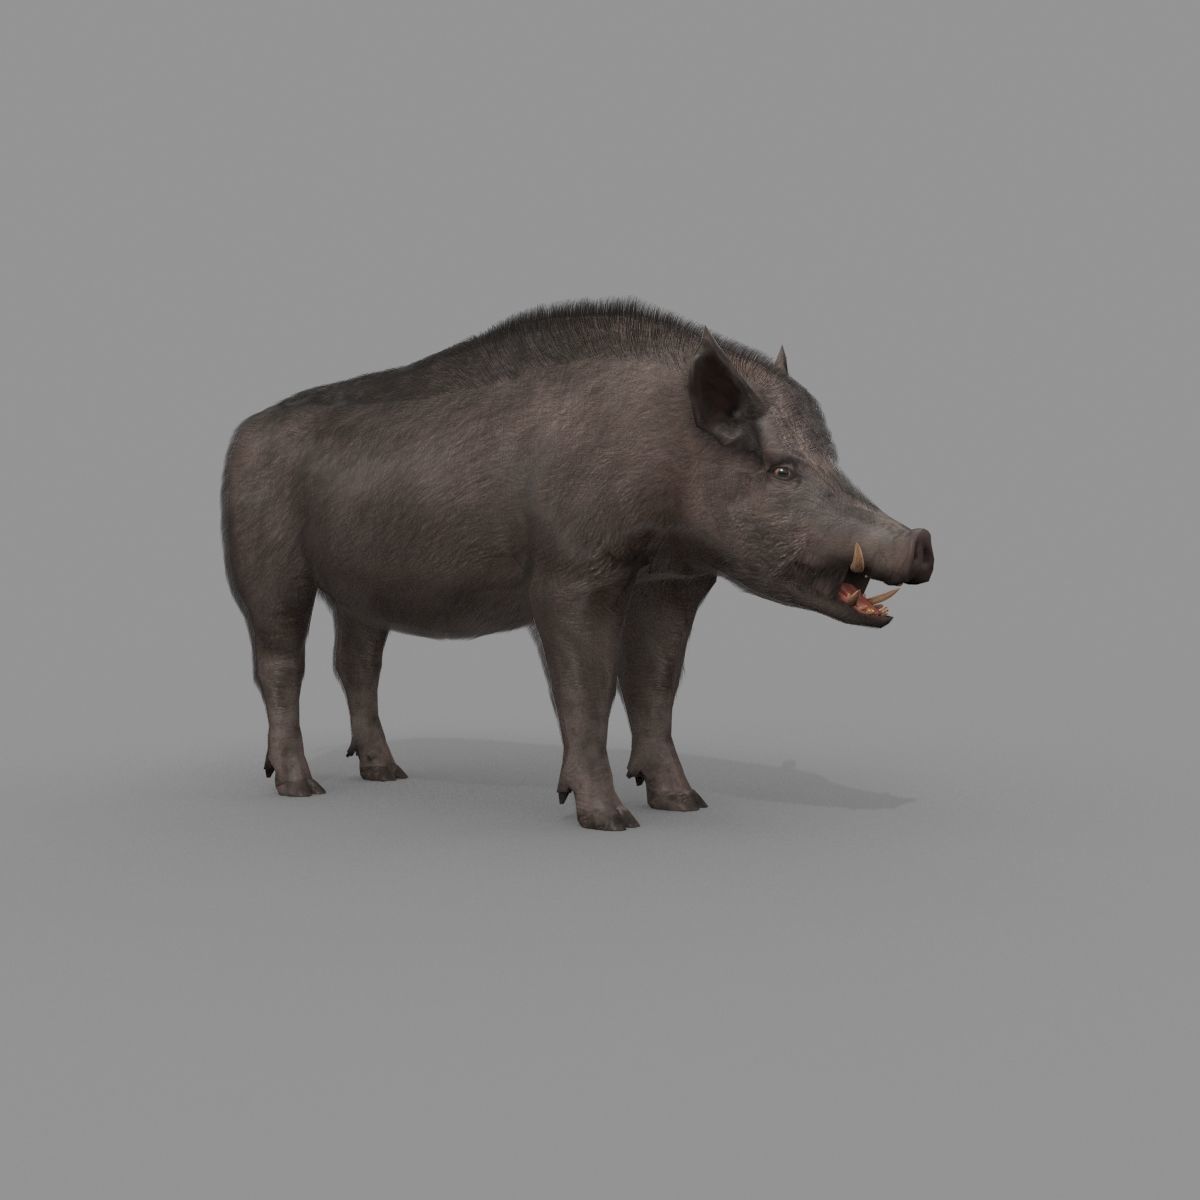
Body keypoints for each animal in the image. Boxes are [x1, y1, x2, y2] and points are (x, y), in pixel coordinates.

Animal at [221, 300, 933, 830]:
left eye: (833, 460)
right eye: (782, 470)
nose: (921, 540)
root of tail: (243, 430)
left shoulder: (675, 582)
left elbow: (654, 685)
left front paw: (686, 805)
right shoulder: (571, 576)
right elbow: (586, 689)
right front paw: (612, 821)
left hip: (361, 589)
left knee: (356, 664)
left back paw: (387, 774)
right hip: (264, 561)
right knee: (280, 663)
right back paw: (302, 788)